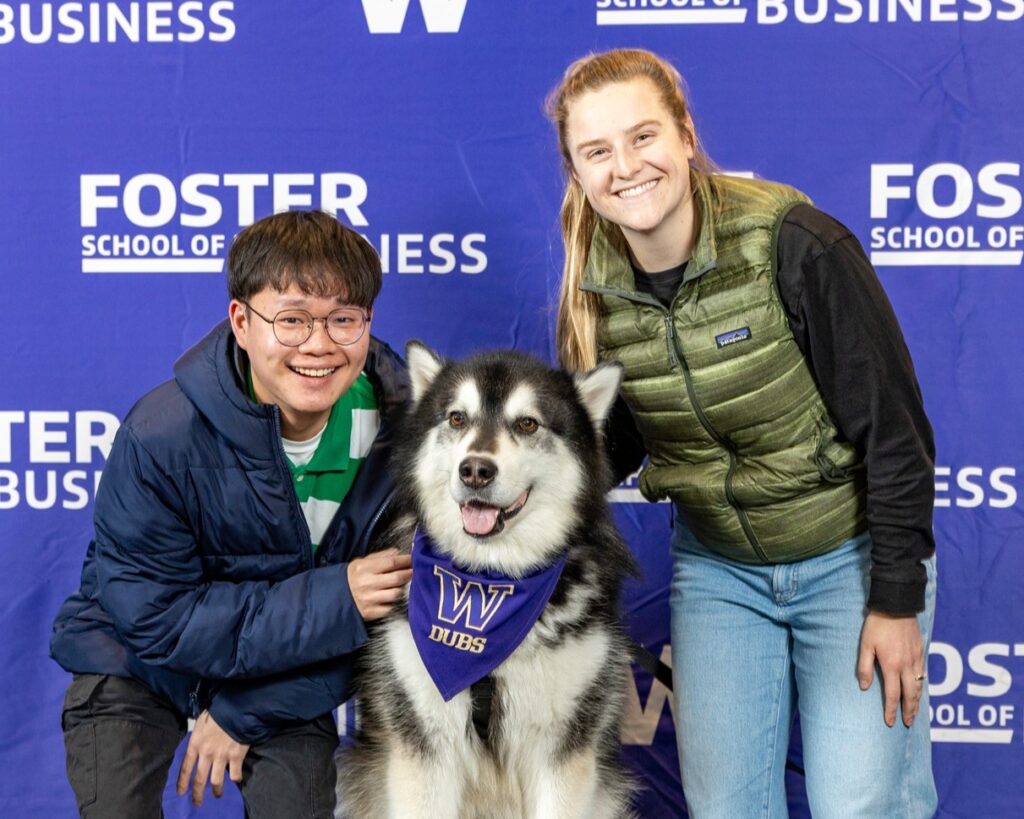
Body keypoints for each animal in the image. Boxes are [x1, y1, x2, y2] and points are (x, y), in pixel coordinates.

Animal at [339, 341, 634, 818]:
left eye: (527, 423)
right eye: (458, 418)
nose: (475, 470)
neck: (484, 584)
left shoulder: (563, 749)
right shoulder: (424, 746)